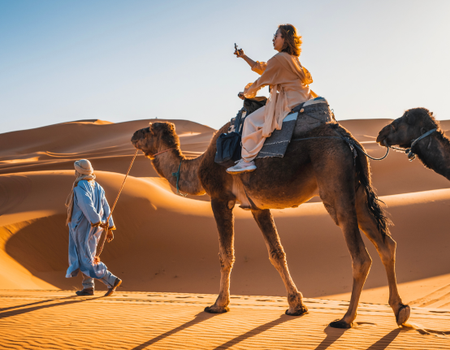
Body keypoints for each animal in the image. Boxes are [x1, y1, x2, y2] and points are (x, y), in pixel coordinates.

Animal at [131, 117, 412, 328]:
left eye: (148, 129)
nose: (133, 135)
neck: (196, 168)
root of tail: (348, 139)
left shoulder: (219, 199)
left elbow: (225, 255)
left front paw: (219, 304)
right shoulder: (259, 207)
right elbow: (276, 253)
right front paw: (296, 306)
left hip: (336, 189)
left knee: (360, 256)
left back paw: (345, 319)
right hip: (358, 192)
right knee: (387, 244)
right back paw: (400, 310)